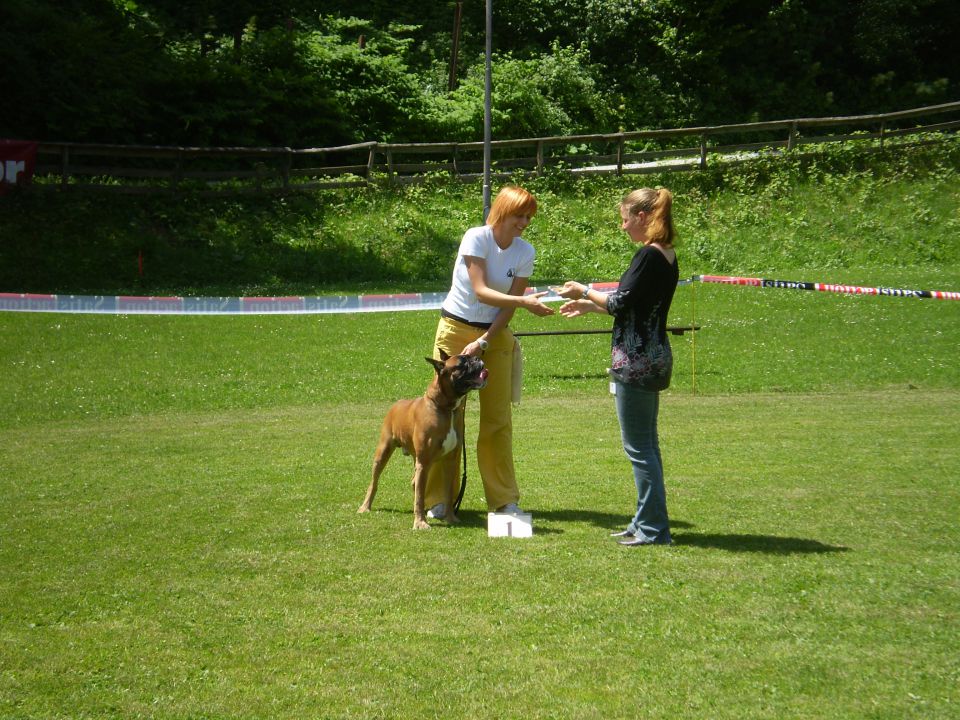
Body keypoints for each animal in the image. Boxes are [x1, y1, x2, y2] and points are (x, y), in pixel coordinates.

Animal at [358, 350, 488, 528]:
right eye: (462, 363)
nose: (477, 358)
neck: (445, 408)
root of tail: (396, 404)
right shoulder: (425, 462)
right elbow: (420, 495)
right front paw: (420, 523)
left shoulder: (449, 462)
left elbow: (447, 493)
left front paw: (450, 518)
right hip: (384, 452)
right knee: (374, 482)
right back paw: (365, 507)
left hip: (419, 461)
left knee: (414, 483)